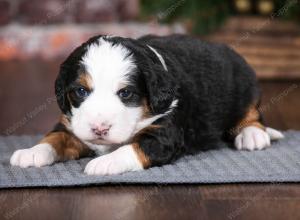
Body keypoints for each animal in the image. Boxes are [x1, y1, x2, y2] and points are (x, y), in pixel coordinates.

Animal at [10, 34, 284, 175]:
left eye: (126, 93)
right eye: (80, 91)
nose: (99, 129)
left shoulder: (165, 133)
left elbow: (132, 148)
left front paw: (104, 163)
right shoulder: (72, 123)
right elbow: (56, 137)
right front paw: (32, 151)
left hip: (244, 84)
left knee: (252, 114)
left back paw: (252, 136)